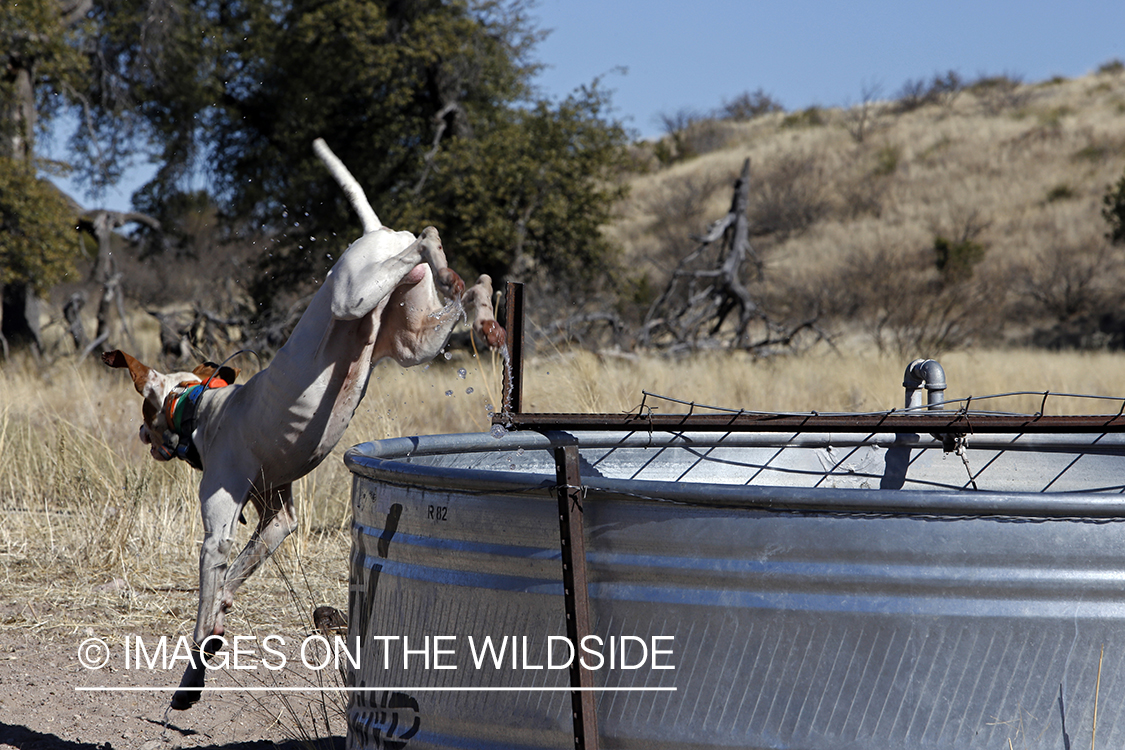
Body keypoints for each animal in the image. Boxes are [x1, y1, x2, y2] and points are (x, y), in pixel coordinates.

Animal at [104, 139, 501, 710]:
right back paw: (480, 303)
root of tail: (379, 230)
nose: (142, 437)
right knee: (466, 293)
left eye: (144, 413)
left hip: (351, 293)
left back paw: (444, 260)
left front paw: (191, 676)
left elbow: (204, 606)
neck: (204, 408)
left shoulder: (217, 530)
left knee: (425, 238)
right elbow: (232, 582)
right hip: (413, 340)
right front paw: (221, 621)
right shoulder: (278, 517)